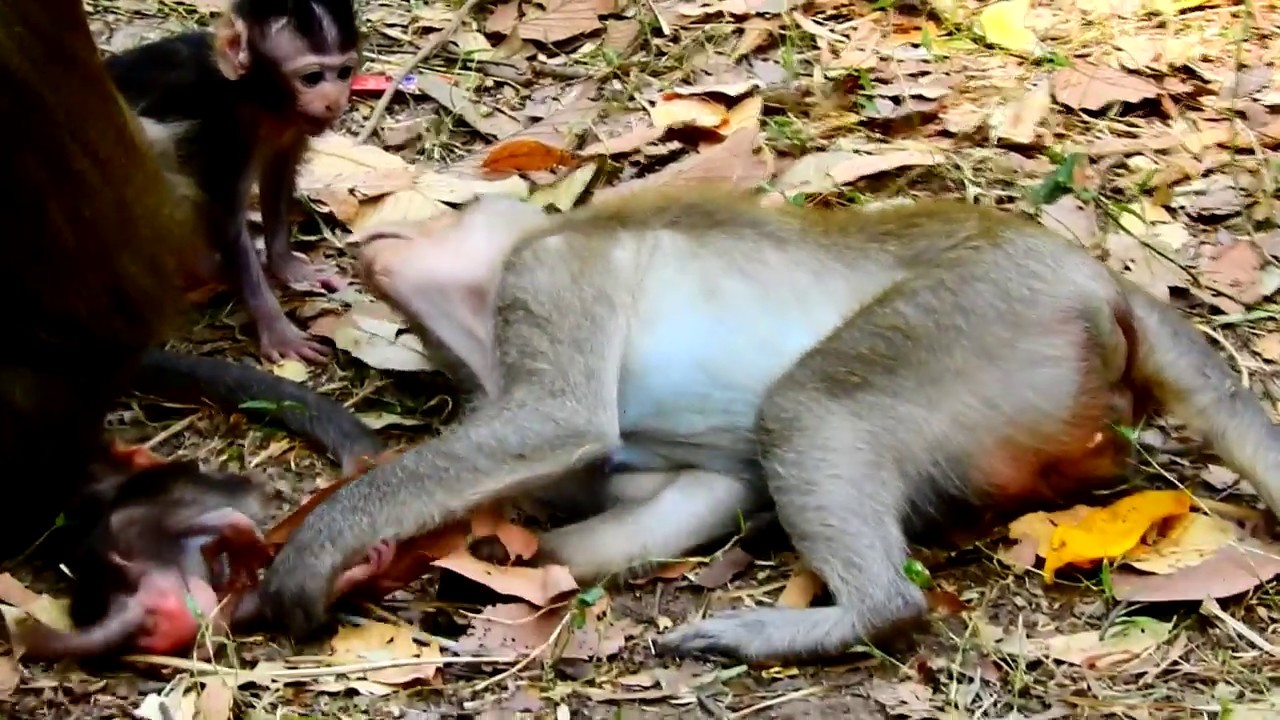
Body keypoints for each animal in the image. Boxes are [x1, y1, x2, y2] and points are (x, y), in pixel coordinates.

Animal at [105, 0, 362, 364]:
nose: (335, 100)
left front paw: (285, 265)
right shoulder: (227, 125)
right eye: (312, 78)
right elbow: (226, 218)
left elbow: (277, 179)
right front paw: (275, 326)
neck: (249, 94)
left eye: (343, 73)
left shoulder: (289, 125)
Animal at [254, 186, 1280, 663]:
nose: (375, 236)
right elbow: (686, 493)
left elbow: (559, 422)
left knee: (810, 406)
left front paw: (320, 548)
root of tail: (1094, 278)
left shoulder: (552, 272)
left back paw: (865, 613)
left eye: (449, 207)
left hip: (986, 311)